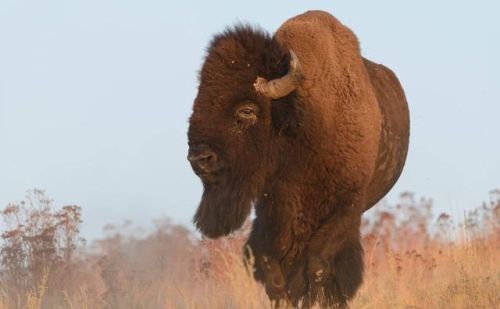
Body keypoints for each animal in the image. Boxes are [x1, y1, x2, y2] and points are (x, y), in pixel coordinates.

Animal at [186, 10, 408, 308]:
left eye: (247, 110)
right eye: (198, 102)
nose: (199, 158)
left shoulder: (346, 207)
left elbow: (318, 265)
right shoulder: (271, 209)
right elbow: (270, 264)